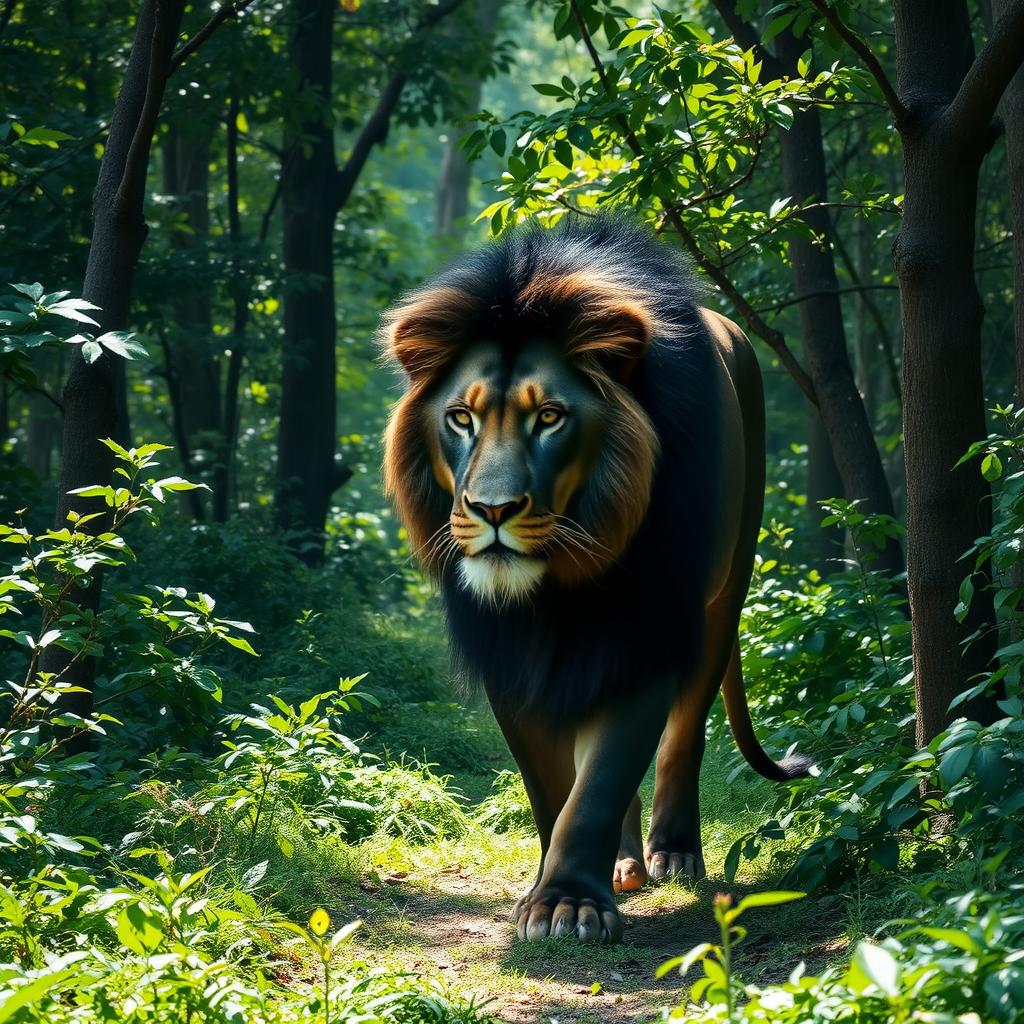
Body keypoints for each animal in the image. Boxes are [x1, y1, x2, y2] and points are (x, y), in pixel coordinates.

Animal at [380, 216, 810, 944]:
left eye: (549, 416)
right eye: (461, 417)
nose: (493, 510)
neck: (559, 584)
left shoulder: (646, 633)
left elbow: (604, 776)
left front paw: (568, 905)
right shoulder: (509, 658)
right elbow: (554, 789)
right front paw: (556, 890)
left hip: (725, 592)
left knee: (684, 734)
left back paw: (673, 854)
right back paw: (625, 863)